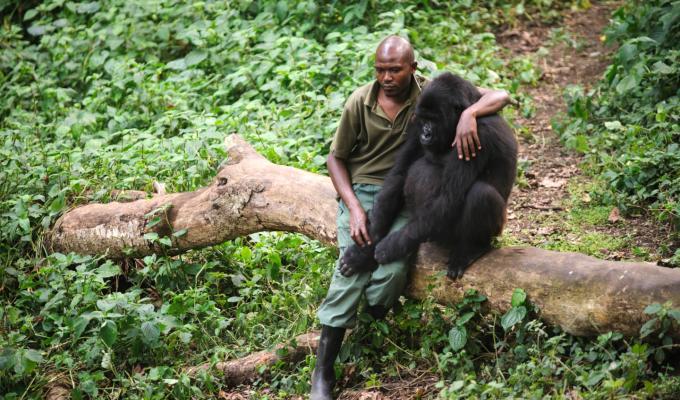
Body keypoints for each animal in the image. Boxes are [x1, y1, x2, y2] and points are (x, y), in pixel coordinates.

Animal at [338, 72, 516, 278]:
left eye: (434, 119)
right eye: (424, 119)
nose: (426, 134)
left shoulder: (477, 132)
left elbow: (449, 196)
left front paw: (390, 247)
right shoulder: (415, 123)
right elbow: (399, 174)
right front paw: (364, 251)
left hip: (492, 231)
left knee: (481, 193)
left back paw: (471, 249)